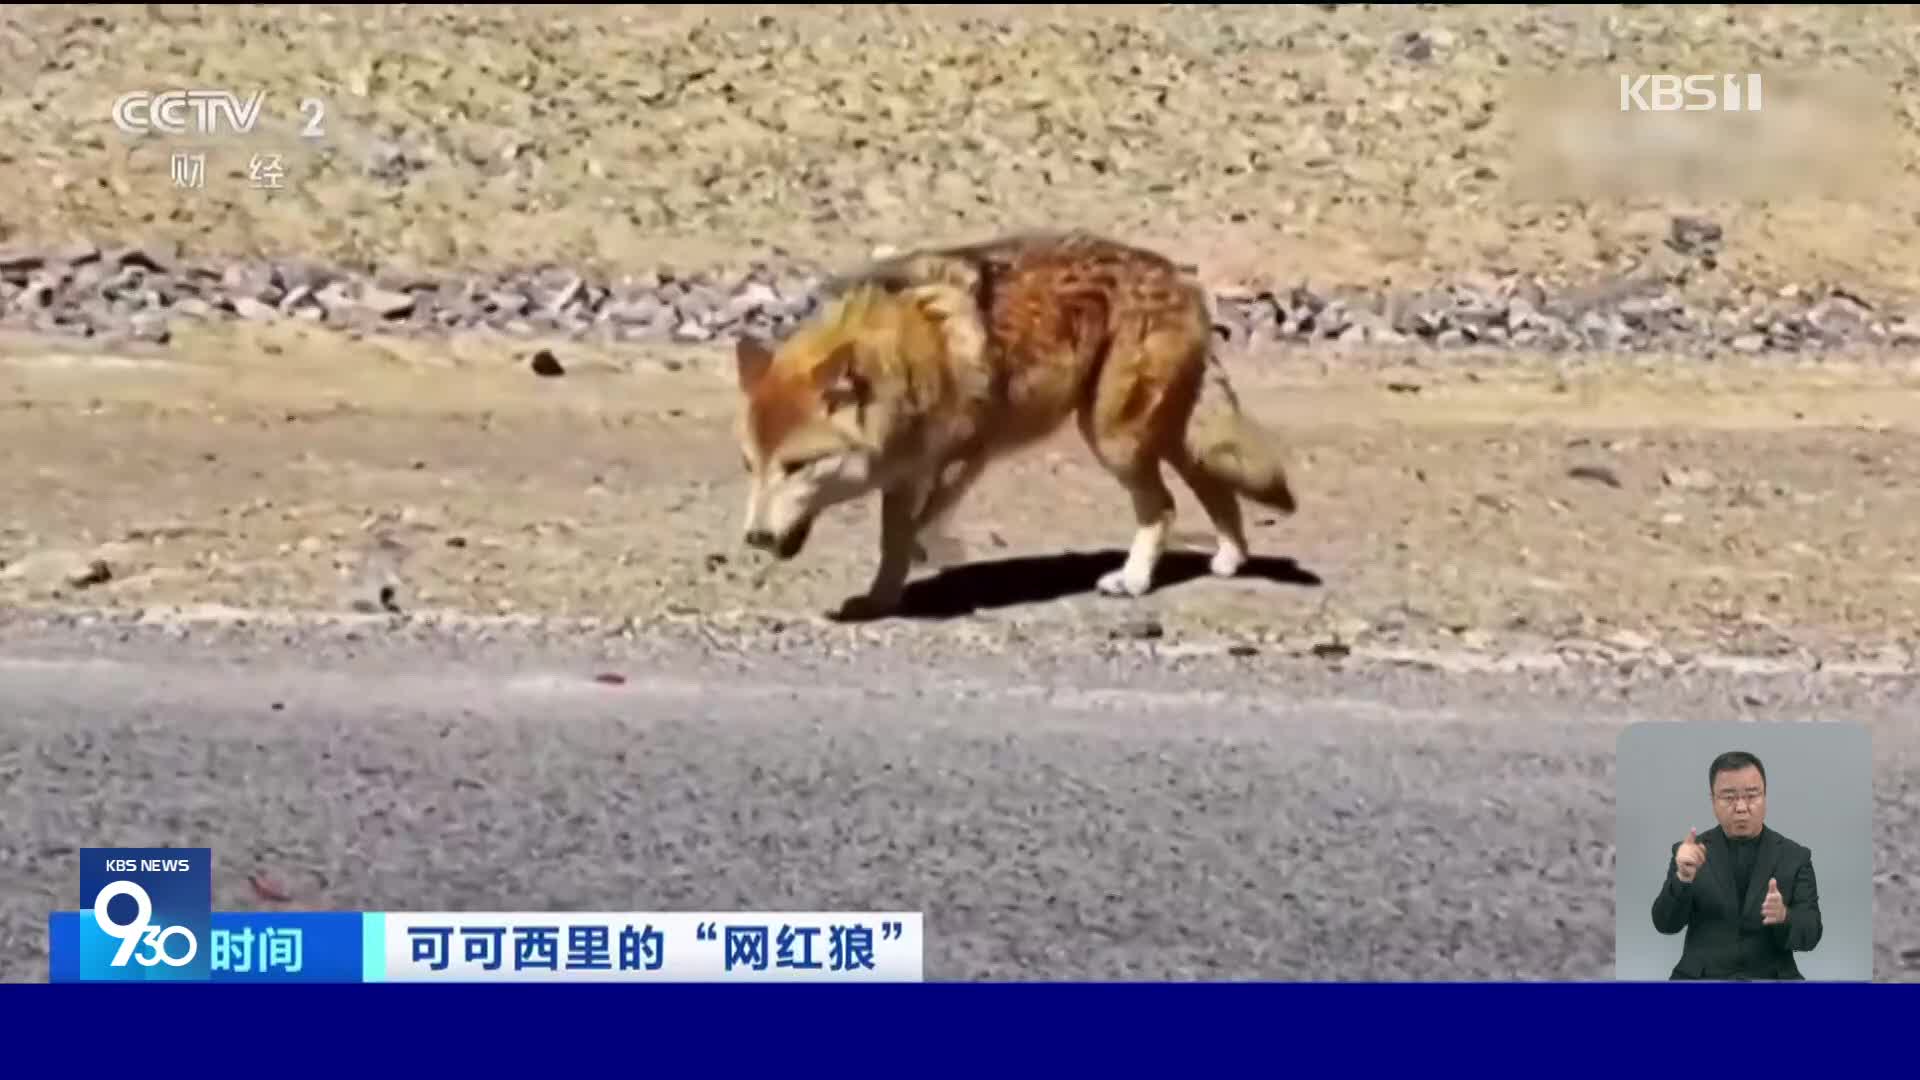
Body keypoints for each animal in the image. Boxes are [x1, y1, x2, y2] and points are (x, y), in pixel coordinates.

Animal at [733, 231, 1305, 618]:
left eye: (797, 466)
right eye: (751, 466)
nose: (755, 538)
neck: (910, 359)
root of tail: (1180, 278)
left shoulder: (964, 456)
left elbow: (913, 529)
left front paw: (921, 557)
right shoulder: (904, 475)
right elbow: (892, 538)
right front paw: (880, 598)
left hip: (1114, 440)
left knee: (1163, 508)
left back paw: (1134, 580)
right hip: (1160, 438)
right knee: (1215, 491)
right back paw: (1230, 559)